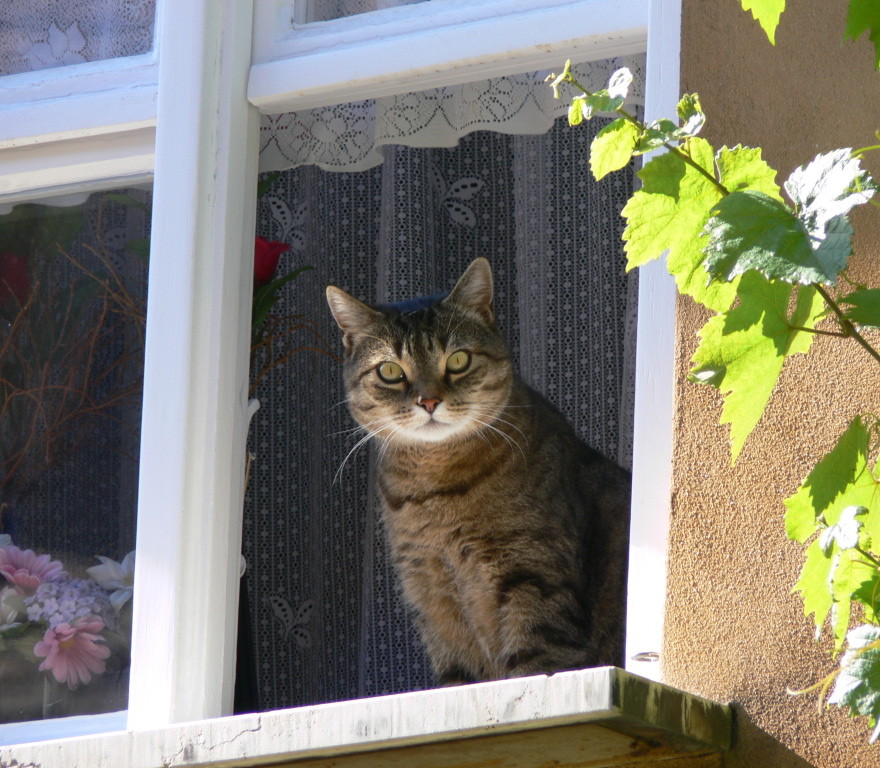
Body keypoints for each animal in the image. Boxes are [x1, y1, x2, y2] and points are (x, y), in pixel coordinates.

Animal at [326, 260, 628, 684]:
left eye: (458, 360)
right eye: (389, 370)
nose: (429, 401)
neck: (435, 489)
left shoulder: (533, 576)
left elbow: (536, 663)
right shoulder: (432, 596)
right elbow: (456, 676)